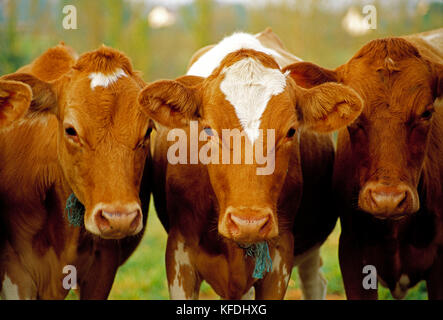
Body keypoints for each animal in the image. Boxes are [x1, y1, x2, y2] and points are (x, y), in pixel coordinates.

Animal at [139, 30, 364, 300]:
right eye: (208, 129)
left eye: (291, 131)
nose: (249, 222)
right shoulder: (179, 255)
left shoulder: (280, 258)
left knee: (314, 282)